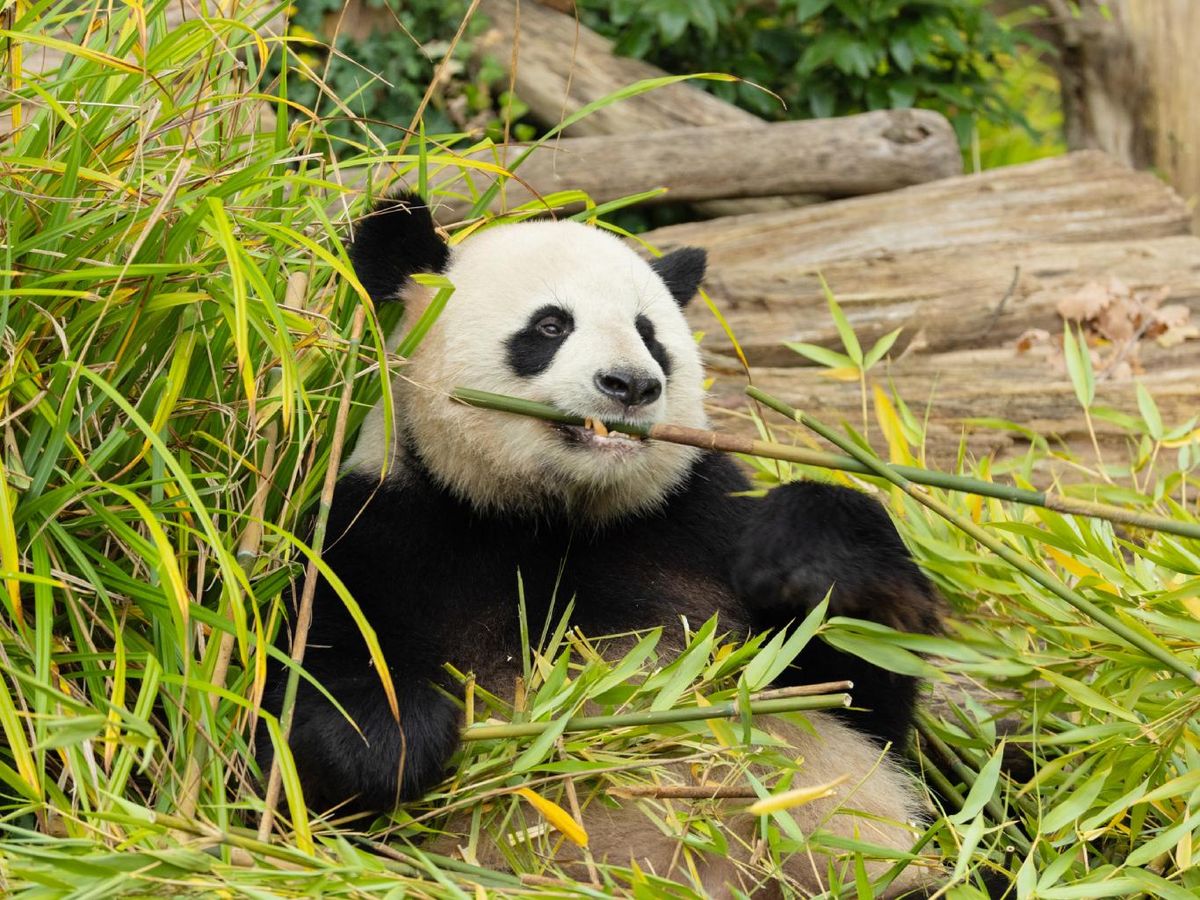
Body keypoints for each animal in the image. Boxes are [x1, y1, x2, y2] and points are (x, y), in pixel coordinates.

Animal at [262, 193, 943, 896]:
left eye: (651, 334)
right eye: (551, 325)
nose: (632, 385)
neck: (554, 513)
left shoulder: (694, 517)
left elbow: (863, 700)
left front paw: (809, 558)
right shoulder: (379, 529)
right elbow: (301, 719)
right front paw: (392, 736)